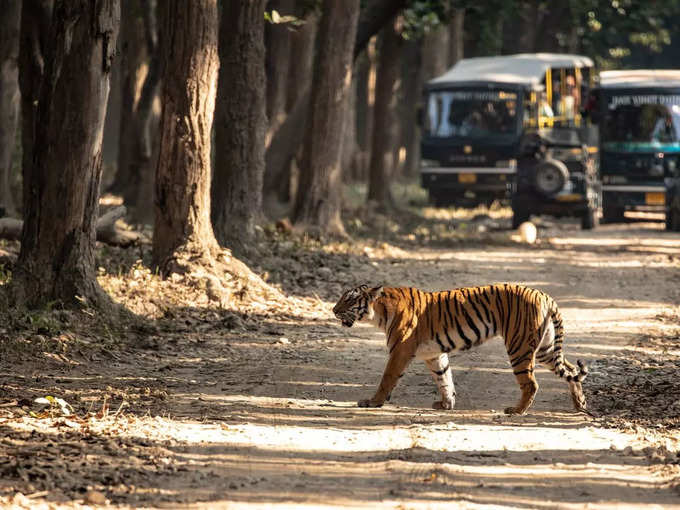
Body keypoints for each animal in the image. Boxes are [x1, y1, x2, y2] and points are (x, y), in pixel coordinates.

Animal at [332, 282, 588, 414]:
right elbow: (444, 379)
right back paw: (580, 404)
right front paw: (446, 404)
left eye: (349, 300)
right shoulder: (434, 354)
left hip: (520, 346)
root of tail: (544, 295)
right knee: (571, 370)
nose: (333, 310)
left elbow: (387, 378)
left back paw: (516, 410)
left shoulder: (400, 351)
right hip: (545, 349)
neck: (379, 313)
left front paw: (373, 402)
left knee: (532, 383)